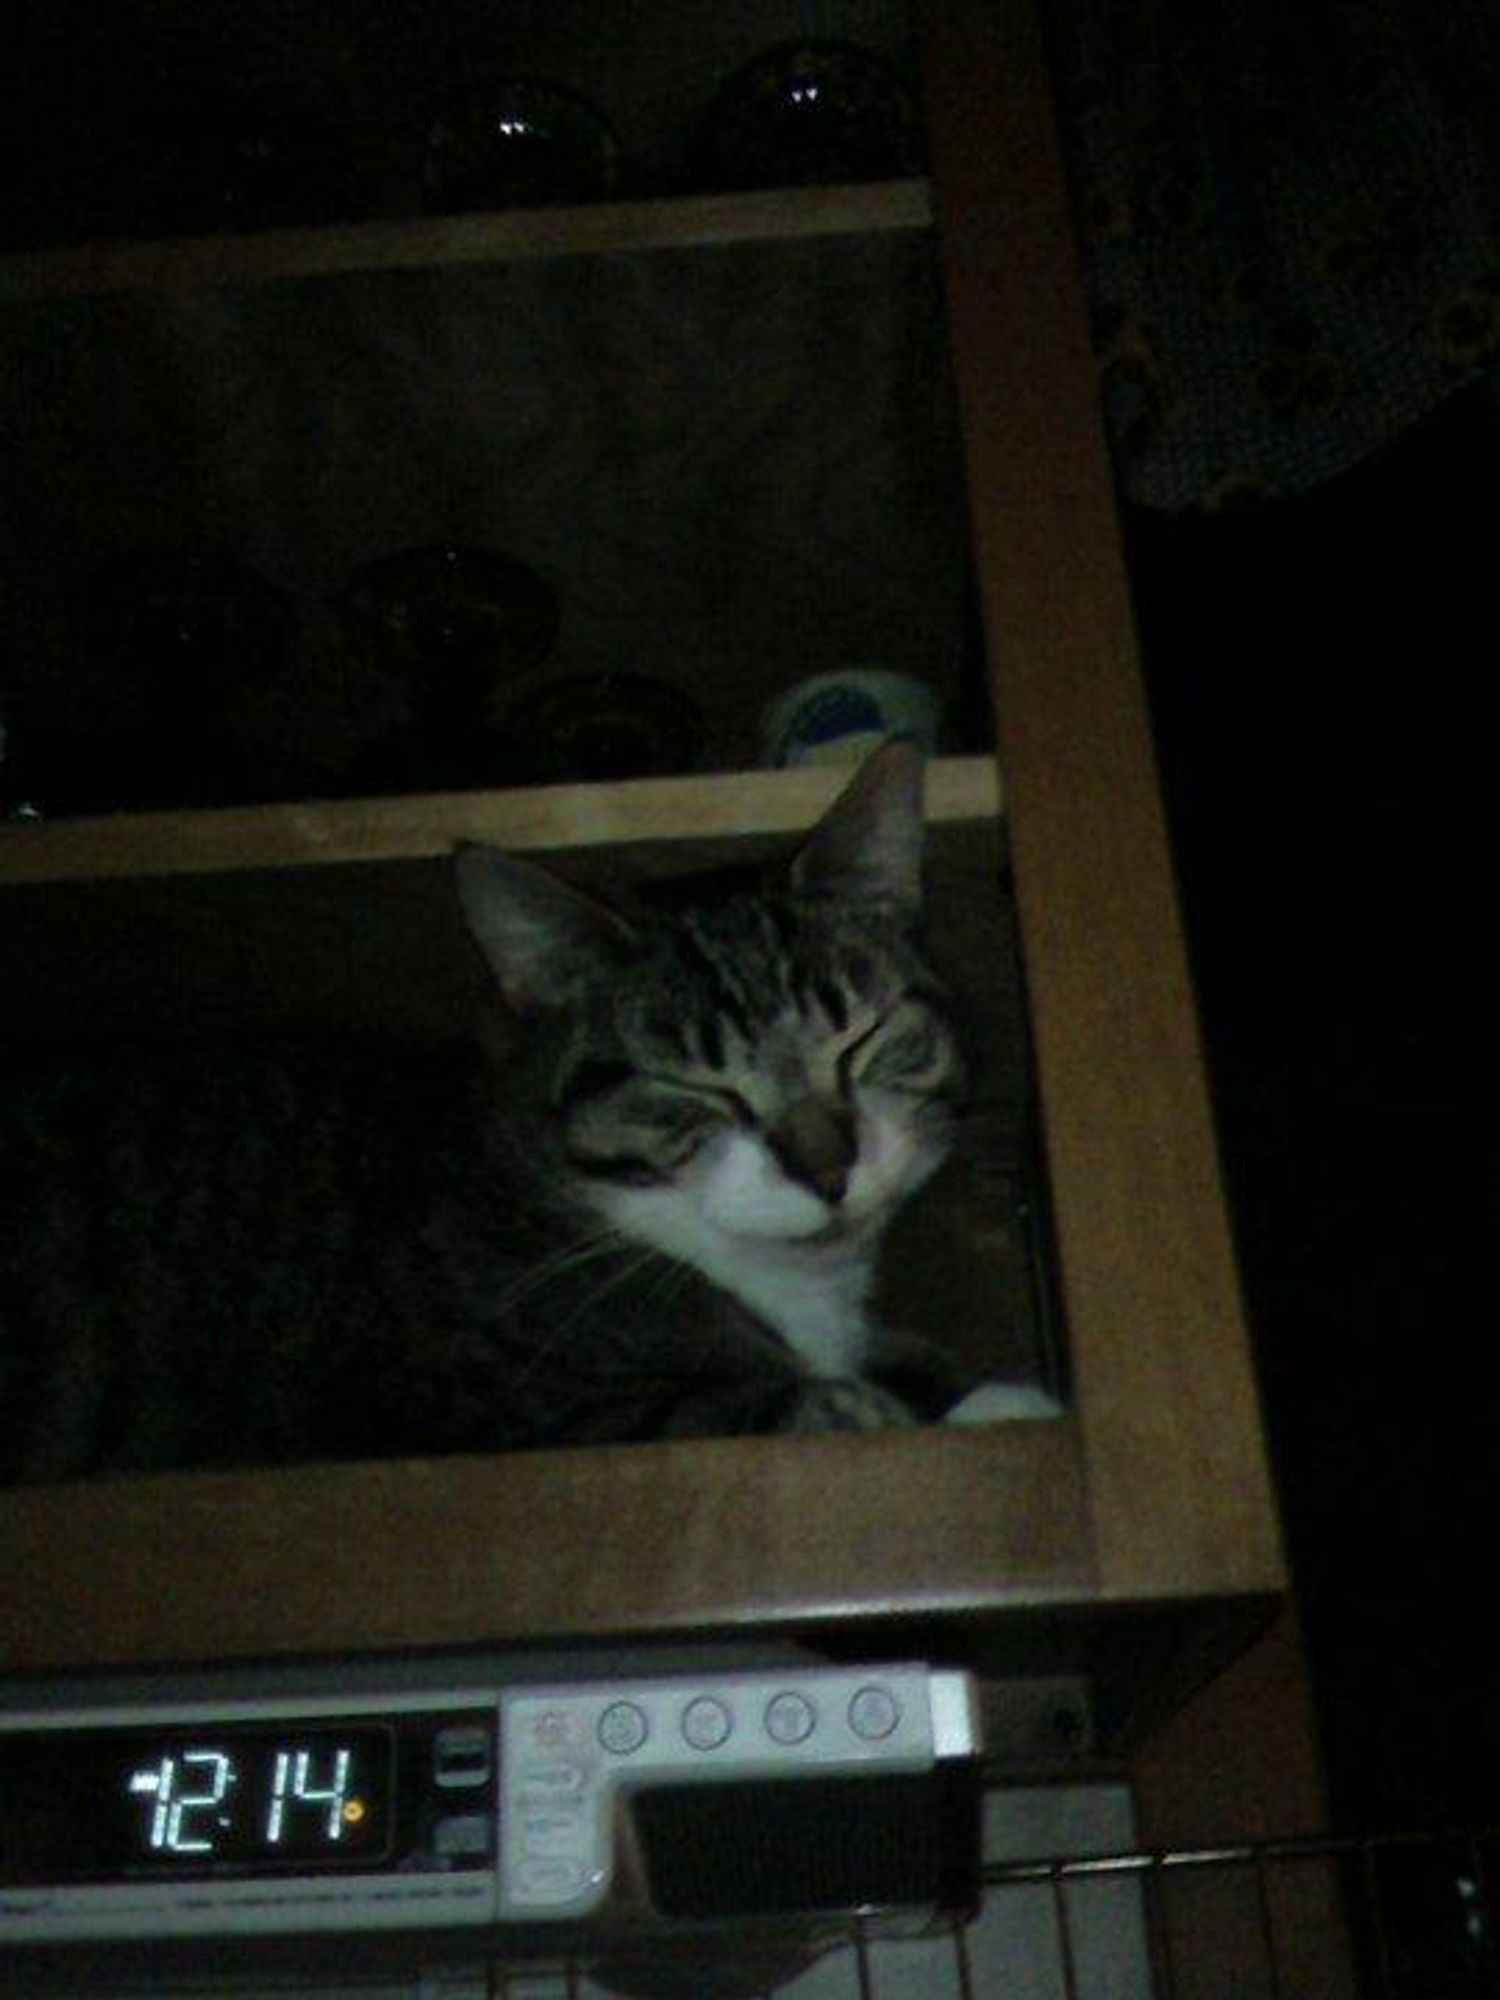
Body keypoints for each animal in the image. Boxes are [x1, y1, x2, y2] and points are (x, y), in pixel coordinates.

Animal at [0, 744, 992, 1480]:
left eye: (859, 1038)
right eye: (695, 1088)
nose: (828, 1167)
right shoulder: (442, 1418)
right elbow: (744, 1406)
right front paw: (875, 1400)